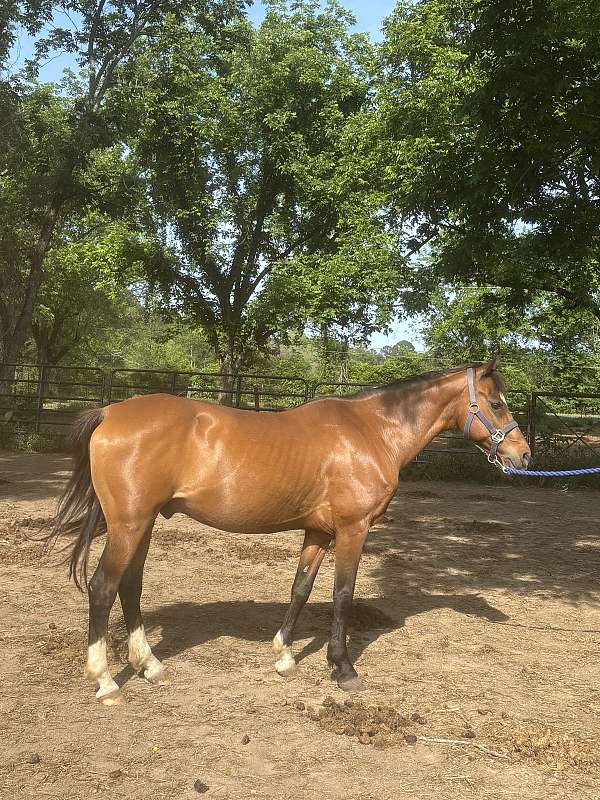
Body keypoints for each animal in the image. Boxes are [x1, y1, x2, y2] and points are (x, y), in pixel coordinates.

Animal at [50, 357, 530, 704]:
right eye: (498, 403)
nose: (523, 455)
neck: (371, 432)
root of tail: (110, 412)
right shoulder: (353, 530)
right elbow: (342, 595)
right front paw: (343, 669)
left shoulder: (318, 533)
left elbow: (301, 588)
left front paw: (283, 656)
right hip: (129, 526)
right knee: (103, 587)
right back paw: (106, 682)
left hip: (143, 525)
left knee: (130, 586)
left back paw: (149, 666)